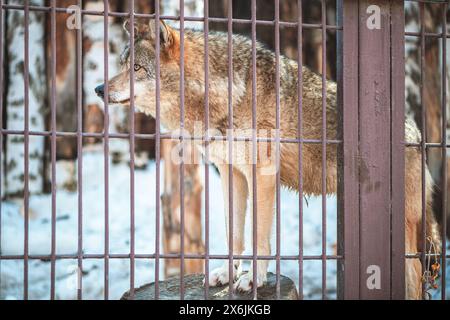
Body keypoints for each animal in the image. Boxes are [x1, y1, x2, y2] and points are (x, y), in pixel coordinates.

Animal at [94, 18, 440, 298]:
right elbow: (233, 235)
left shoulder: (261, 176)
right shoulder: (231, 174)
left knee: (415, 277)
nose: (98, 89)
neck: (224, 95)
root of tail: (416, 132)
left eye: (135, 69)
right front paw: (227, 274)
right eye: (121, 65)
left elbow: (258, 237)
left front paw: (253, 279)